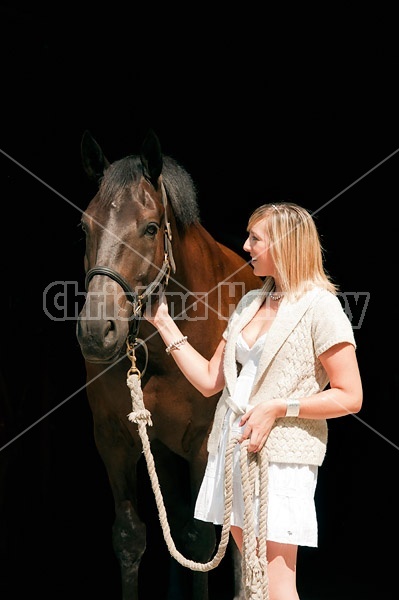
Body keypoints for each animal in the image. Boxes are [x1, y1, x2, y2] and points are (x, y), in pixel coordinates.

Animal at [76, 131, 262, 600]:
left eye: (150, 227)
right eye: (85, 226)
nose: (96, 331)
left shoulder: (202, 445)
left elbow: (200, 541)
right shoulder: (113, 439)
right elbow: (130, 537)